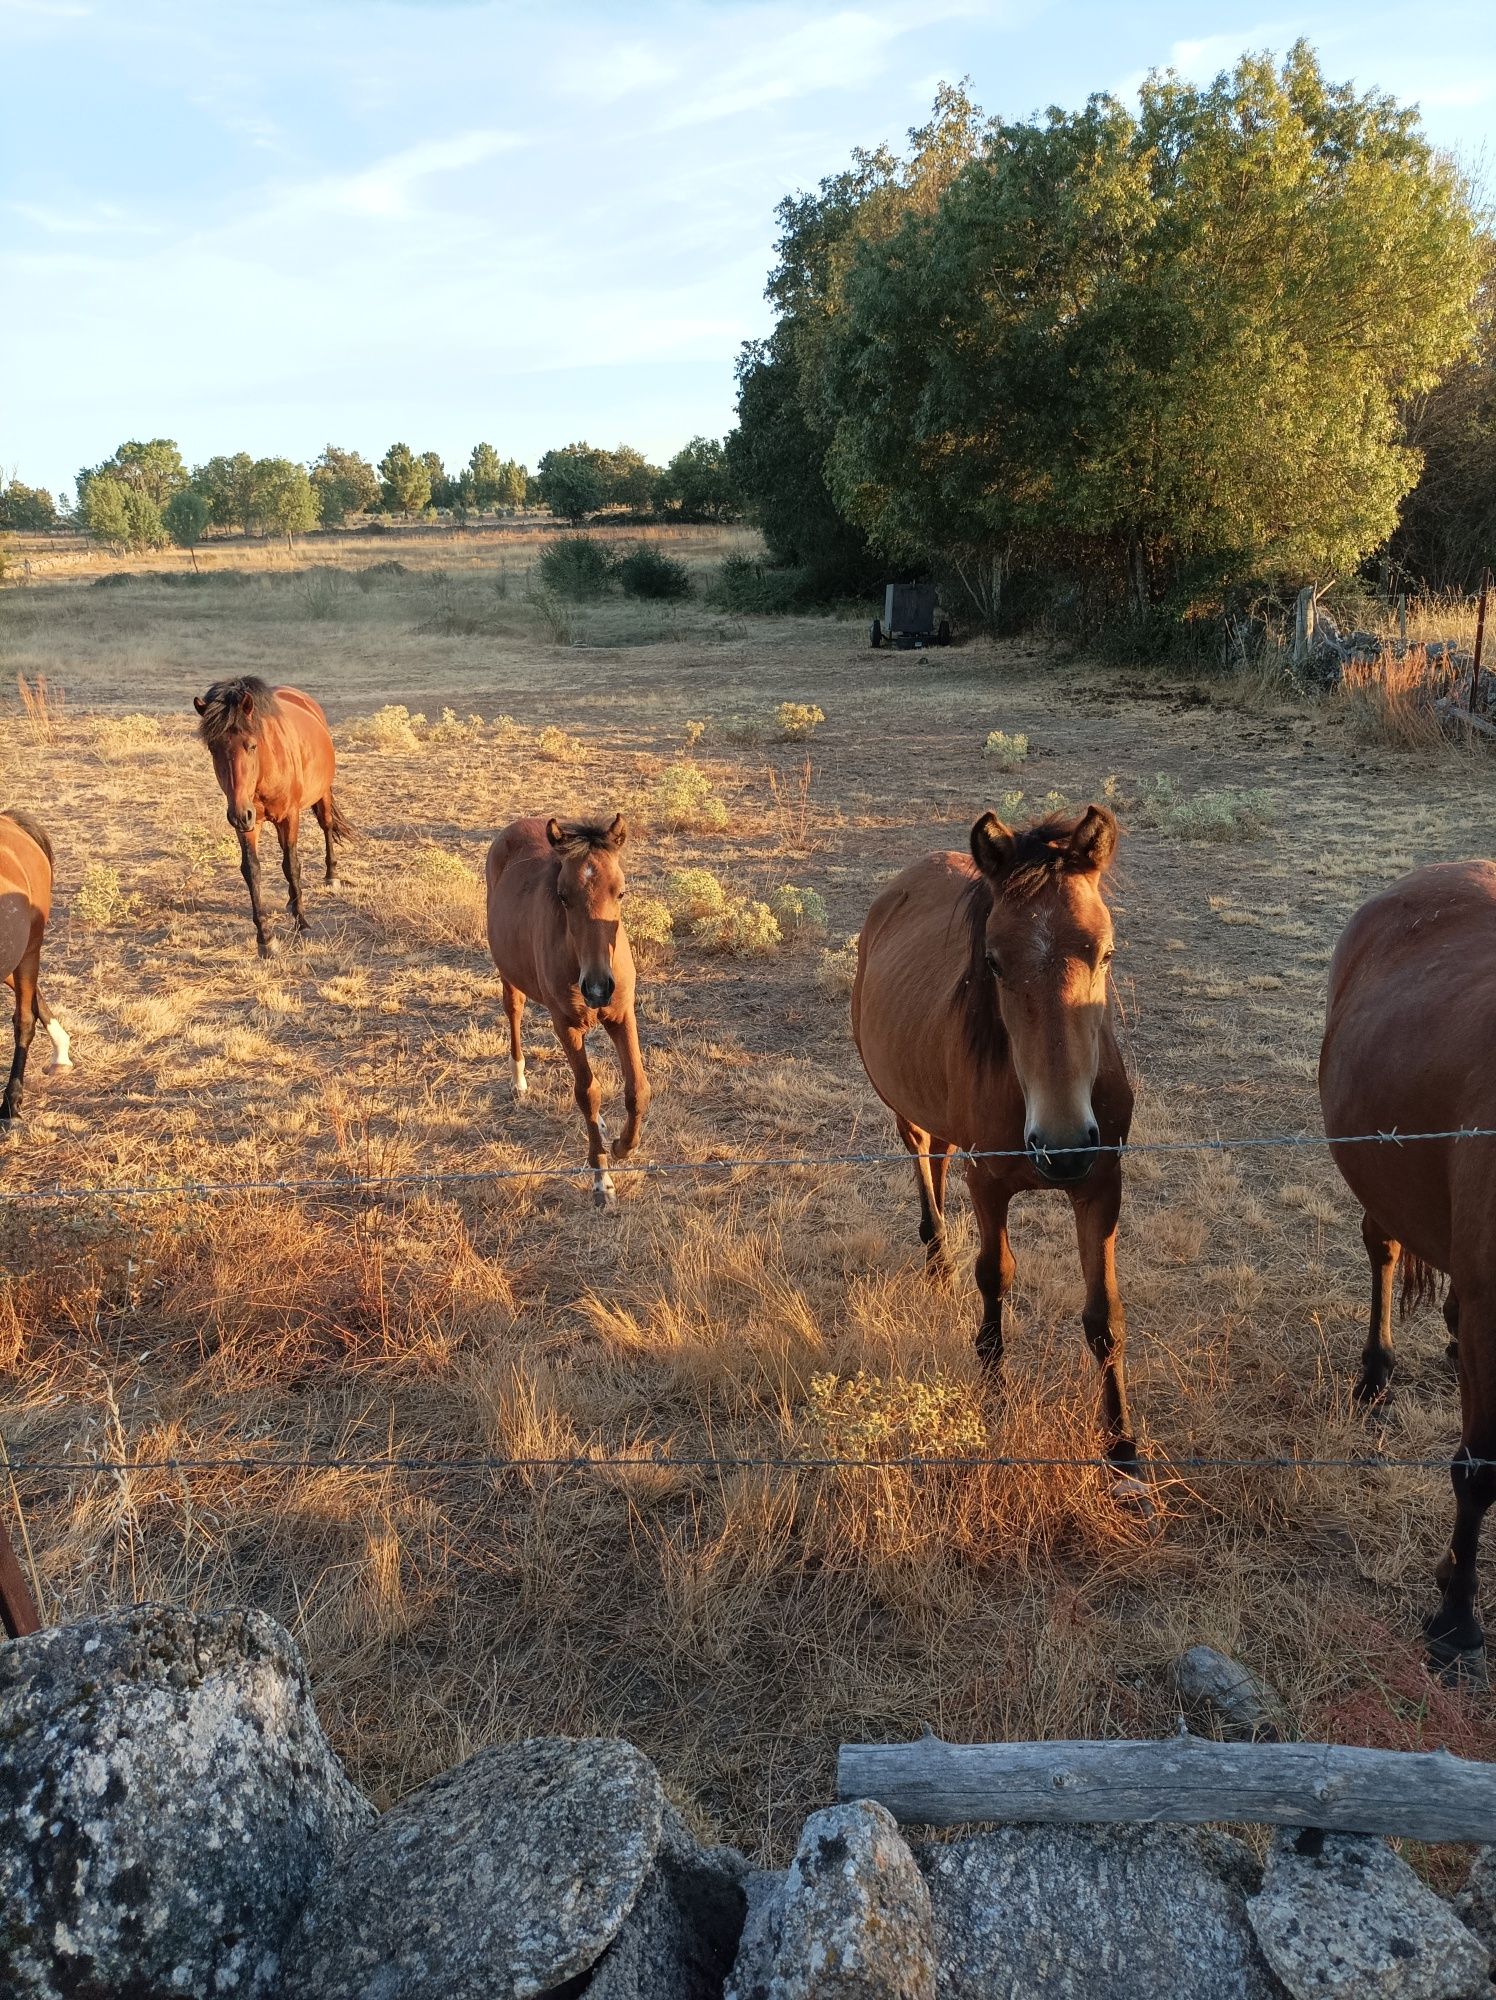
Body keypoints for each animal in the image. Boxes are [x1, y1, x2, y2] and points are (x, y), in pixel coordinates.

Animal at [190, 676, 344, 956]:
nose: (240, 814)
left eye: (252, 745)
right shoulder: (248, 822)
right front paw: (266, 938)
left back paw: (331, 877)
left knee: (326, 826)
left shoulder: (289, 817)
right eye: (213, 749)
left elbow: (291, 865)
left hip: (322, 793)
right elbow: (252, 870)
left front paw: (302, 922)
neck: (265, 769)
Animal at [488, 812, 652, 1200]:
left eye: (621, 892)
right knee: (513, 1010)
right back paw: (518, 1080)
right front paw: (602, 1179)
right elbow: (587, 1093)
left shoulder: (622, 1014)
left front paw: (623, 1146)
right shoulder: (566, 1023)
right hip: (509, 975)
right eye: (563, 897)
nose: (597, 988)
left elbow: (638, 1088)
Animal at [852, 804, 1144, 1480]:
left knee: (937, 1154)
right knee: (921, 1152)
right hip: (904, 1104)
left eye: (1106, 952)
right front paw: (992, 1399)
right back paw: (936, 1255)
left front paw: (1122, 1451)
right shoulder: (988, 1181)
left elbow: (1105, 1317)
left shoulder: (1100, 1182)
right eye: (994, 962)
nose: (1063, 1146)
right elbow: (995, 1276)